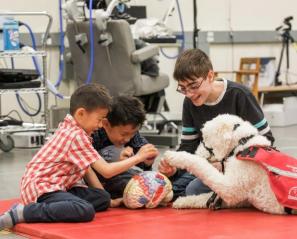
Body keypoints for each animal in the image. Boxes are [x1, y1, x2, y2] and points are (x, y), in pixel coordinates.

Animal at [164, 114, 296, 215]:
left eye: (205, 138)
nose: (197, 152)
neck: (243, 144)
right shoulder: (240, 199)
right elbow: (204, 196)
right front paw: (182, 201)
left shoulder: (230, 189)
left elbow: (202, 166)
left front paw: (176, 156)